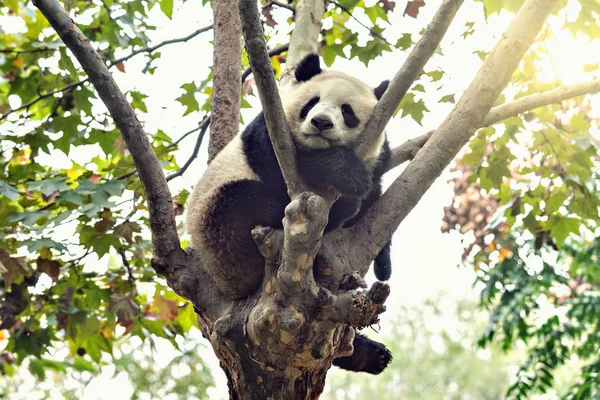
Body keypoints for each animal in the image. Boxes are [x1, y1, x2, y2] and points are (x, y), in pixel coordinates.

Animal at [185, 54, 396, 374]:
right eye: (312, 102)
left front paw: (384, 260)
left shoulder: (378, 157)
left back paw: (370, 354)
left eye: (347, 111)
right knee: (248, 205)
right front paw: (346, 175)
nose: (320, 123)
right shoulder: (272, 128)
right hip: (218, 228)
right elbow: (276, 161)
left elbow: (374, 193)